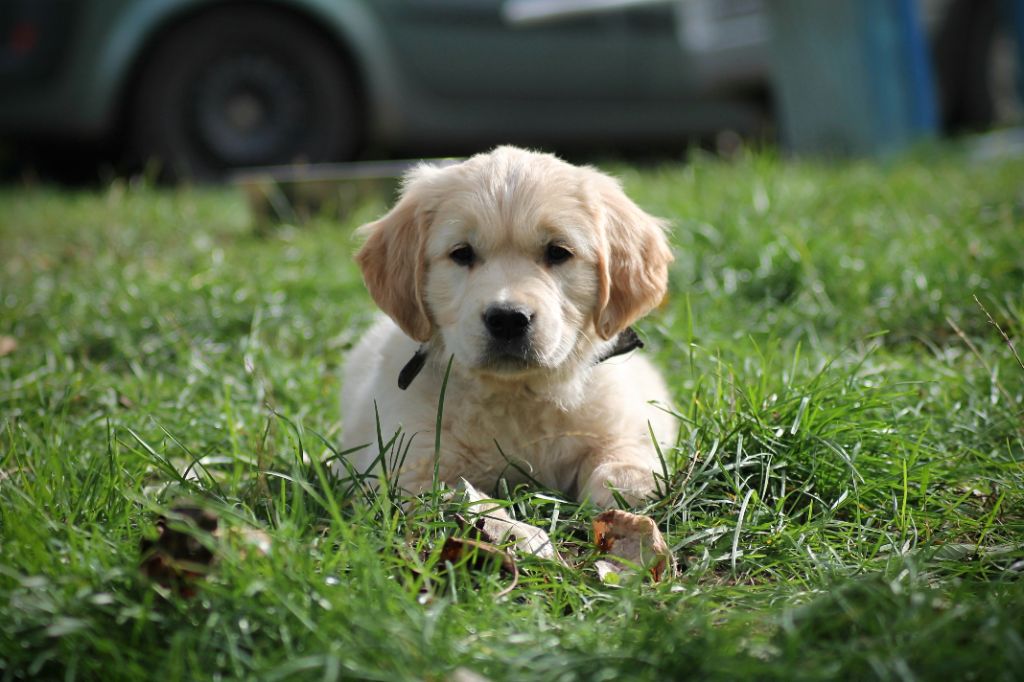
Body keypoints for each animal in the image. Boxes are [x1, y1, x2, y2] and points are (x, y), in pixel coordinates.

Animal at [339, 146, 675, 503]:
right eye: (462, 253)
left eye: (558, 252)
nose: (508, 319)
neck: (516, 395)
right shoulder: (410, 469)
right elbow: (461, 503)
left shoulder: (622, 430)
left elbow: (622, 469)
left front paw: (629, 500)